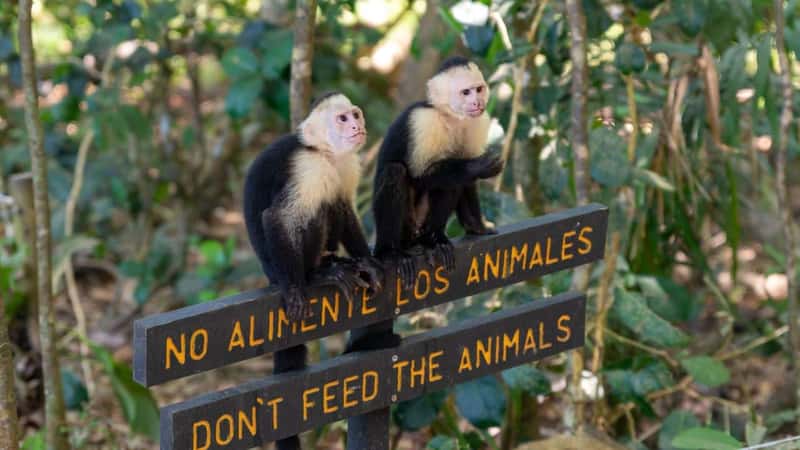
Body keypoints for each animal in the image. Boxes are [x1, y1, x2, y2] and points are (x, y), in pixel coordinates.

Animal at [243, 92, 383, 450]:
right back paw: (317, 274)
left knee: (331, 203)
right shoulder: (308, 168)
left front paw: (368, 261)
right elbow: (277, 218)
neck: (325, 152)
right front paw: (295, 290)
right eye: (342, 119)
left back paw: (338, 261)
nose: (357, 126)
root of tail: (268, 274)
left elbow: (345, 207)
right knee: (312, 211)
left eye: (355, 115)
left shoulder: (346, 164)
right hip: (279, 264)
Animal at [372, 56, 503, 280]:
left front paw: (477, 226)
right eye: (466, 92)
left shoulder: (476, 122)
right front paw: (480, 166)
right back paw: (390, 252)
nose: (477, 102)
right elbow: (420, 174)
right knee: (395, 172)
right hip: (406, 227)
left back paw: (434, 239)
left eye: (478, 89)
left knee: (453, 181)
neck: (450, 115)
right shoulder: (424, 121)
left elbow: (466, 179)